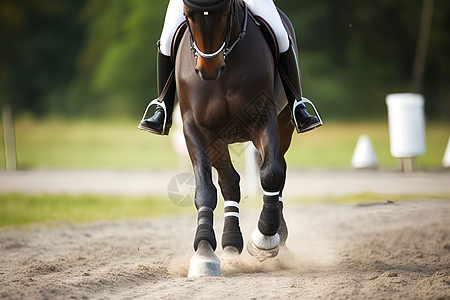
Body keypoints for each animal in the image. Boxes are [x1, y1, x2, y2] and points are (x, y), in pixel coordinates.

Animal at [178, 0, 298, 276]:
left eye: (224, 13)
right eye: (188, 16)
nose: (208, 69)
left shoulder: (264, 118)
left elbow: (271, 174)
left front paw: (264, 239)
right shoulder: (196, 130)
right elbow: (205, 190)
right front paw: (204, 253)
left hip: (284, 124)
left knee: (278, 169)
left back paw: (278, 236)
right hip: (218, 141)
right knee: (229, 181)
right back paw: (231, 245)